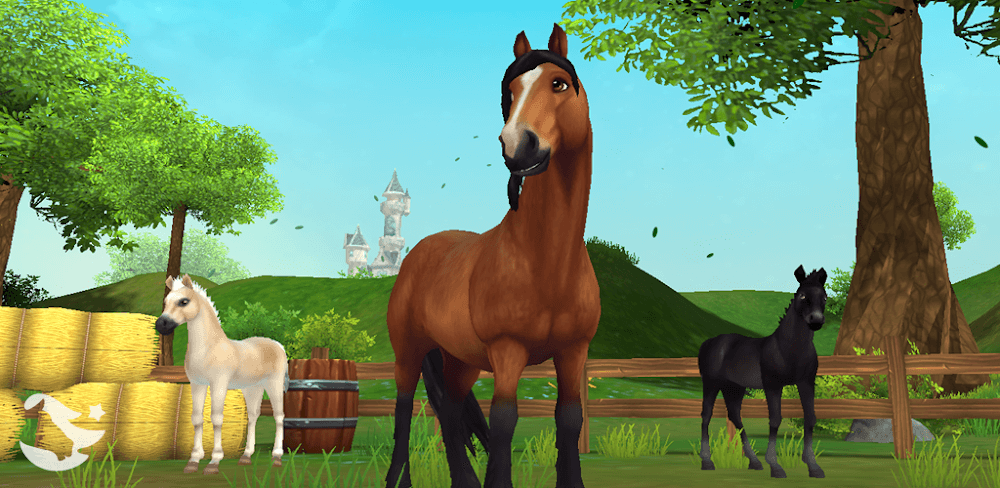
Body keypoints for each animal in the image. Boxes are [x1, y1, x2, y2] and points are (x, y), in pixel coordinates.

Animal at [154, 274, 289, 475]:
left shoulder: (218, 384)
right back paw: (246, 456)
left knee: (279, 416)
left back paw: (277, 457)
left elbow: (216, 419)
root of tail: (278, 345)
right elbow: (196, 419)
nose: (161, 325)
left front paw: (214, 462)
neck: (208, 348)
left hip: (274, 384)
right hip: (253, 388)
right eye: (166, 301)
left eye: (184, 301)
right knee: (253, 416)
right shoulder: (197, 384)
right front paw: (193, 461)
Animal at [384, 22, 600, 488]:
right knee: (403, 407)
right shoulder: (507, 351)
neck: (546, 261)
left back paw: (463, 481)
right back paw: (398, 479)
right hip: (409, 350)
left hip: (460, 359)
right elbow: (504, 420)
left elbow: (569, 419)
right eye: (511, 91)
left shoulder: (574, 350)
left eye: (559, 84)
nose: (517, 145)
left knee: (449, 410)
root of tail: (421, 251)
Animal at [697, 265, 827, 479]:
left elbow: (810, 418)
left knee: (735, 416)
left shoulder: (807, 382)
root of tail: (710, 342)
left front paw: (813, 466)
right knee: (706, 415)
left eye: (824, 296)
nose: (816, 320)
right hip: (711, 384)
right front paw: (775, 466)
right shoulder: (772, 385)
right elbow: (775, 420)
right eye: (801, 295)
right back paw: (707, 461)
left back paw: (754, 462)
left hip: (734, 387)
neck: (788, 349)